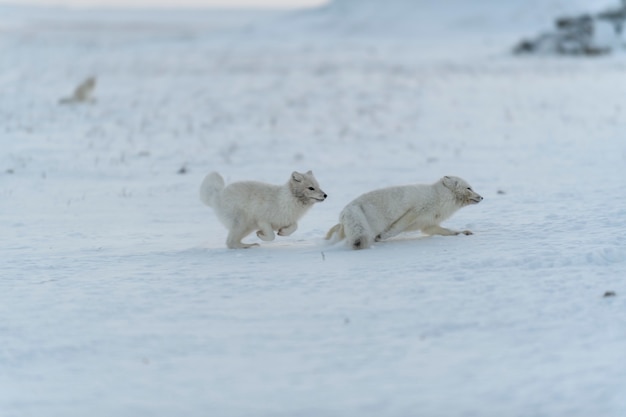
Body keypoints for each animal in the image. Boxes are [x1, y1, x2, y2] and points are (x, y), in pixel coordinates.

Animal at [326, 175, 482, 249]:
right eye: (469, 188)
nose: (482, 197)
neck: (439, 198)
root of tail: (347, 209)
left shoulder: (428, 225)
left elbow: (449, 231)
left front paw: (463, 232)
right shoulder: (413, 212)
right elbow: (396, 229)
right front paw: (382, 237)